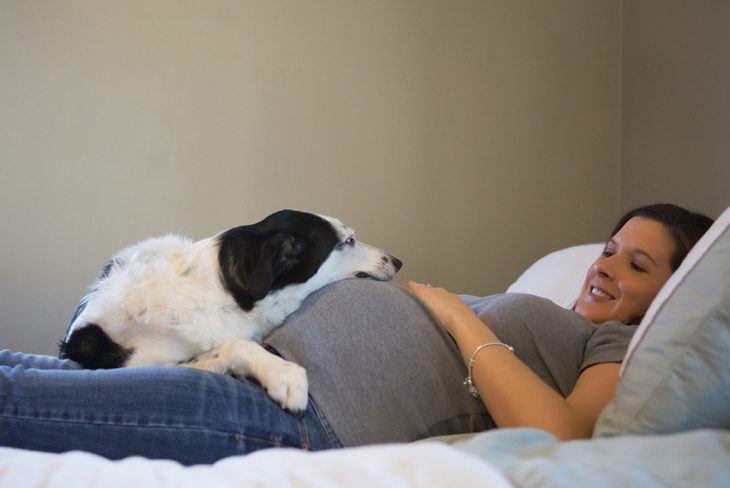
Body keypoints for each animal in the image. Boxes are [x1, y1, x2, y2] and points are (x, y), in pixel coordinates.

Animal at [61, 208, 404, 410]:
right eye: (349, 240)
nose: (398, 261)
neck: (220, 297)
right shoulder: (139, 365)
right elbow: (234, 346)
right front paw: (283, 373)